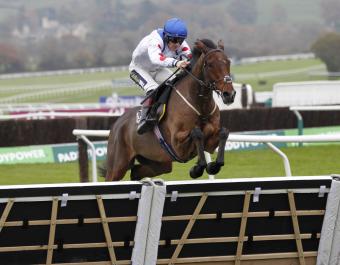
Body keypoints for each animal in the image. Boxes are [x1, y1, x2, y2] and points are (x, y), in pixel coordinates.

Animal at [105, 38, 235, 180]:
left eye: (228, 62)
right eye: (210, 64)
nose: (229, 94)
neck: (200, 106)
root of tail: (117, 123)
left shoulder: (211, 140)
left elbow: (224, 132)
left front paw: (212, 166)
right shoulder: (177, 145)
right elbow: (197, 133)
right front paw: (197, 168)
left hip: (159, 163)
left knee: (135, 172)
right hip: (117, 166)